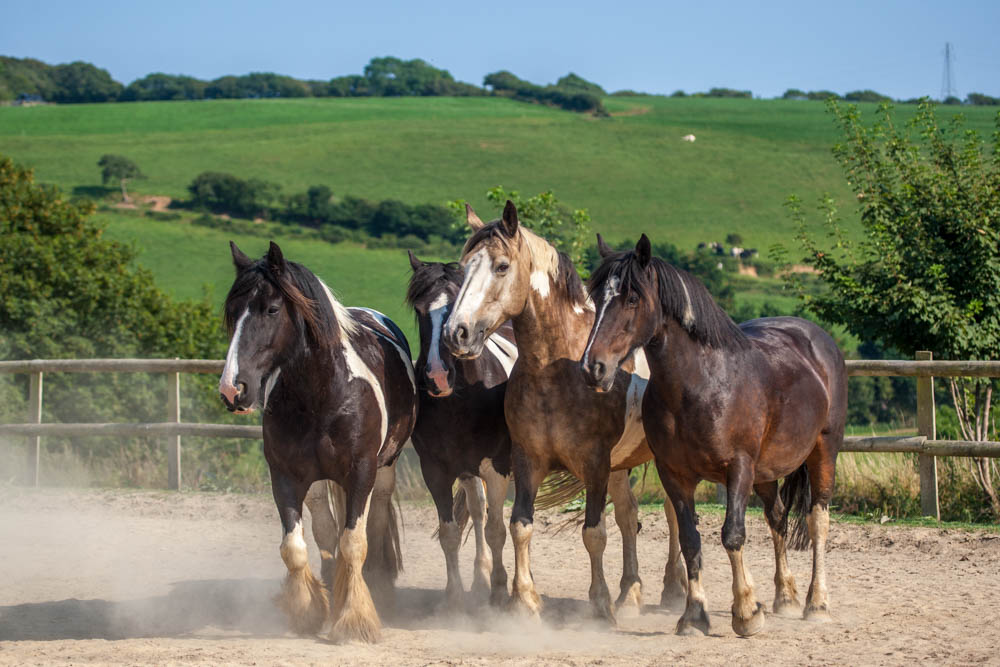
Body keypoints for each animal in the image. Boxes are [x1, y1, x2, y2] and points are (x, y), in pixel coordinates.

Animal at [219, 243, 418, 644]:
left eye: (271, 309)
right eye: (232, 312)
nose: (233, 388)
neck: (322, 393)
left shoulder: (361, 474)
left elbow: (354, 544)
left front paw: (354, 620)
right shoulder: (285, 477)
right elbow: (295, 548)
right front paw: (308, 611)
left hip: (385, 470)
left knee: (375, 521)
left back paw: (377, 586)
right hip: (316, 483)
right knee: (325, 528)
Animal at [406, 252, 516, 612]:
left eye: (457, 303)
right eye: (418, 309)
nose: (438, 376)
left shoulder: (497, 467)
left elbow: (497, 530)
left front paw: (500, 591)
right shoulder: (435, 469)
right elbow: (450, 533)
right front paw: (454, 598)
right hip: (467, 470)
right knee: (477, 510)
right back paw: (479, 580)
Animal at [446, 202, 688, 620]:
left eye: (502, 266)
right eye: (465, 266)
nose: (456, 332)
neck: (557, 369)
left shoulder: (595, 464)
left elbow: (594, 533)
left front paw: (599, 605)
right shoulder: (528, 459)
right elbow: (520, 526)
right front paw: (524, 602)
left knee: (672, 514)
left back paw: (675, 589)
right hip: (622, 465)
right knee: (629, 516)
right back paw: (630, 594)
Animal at [580, 235, 844, 636]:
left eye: (632, 298)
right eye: (597, 298)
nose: (593, 367)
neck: (701, 384)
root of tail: (817, 338)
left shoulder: (738, 469)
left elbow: (732, 535)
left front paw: (747, 612)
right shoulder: (675, 474)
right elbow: (691, 540)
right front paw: (693, 616)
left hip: (823, 451)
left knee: (818, 521)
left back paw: (817, 603)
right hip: (766, 473)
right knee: (778, 518)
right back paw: (785, 597)